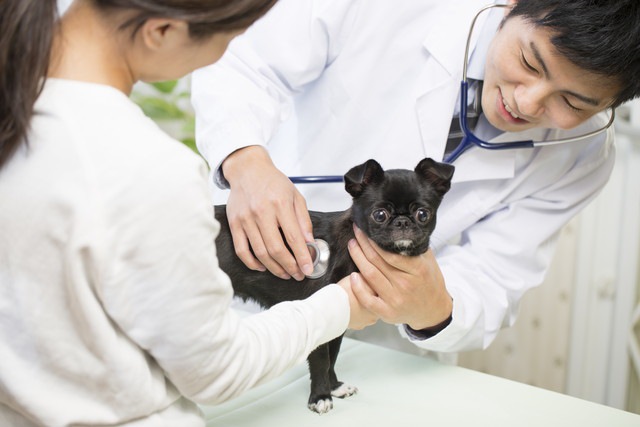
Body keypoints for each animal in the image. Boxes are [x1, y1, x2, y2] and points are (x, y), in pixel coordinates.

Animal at [215, 157, 456, 414]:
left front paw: (335, 387)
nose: (402, 221)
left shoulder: (338, 321)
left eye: (423, 214)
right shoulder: (319, 317)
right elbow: (322, 360)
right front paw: (320, 395)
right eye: (379, 215)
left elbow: (333, 356)